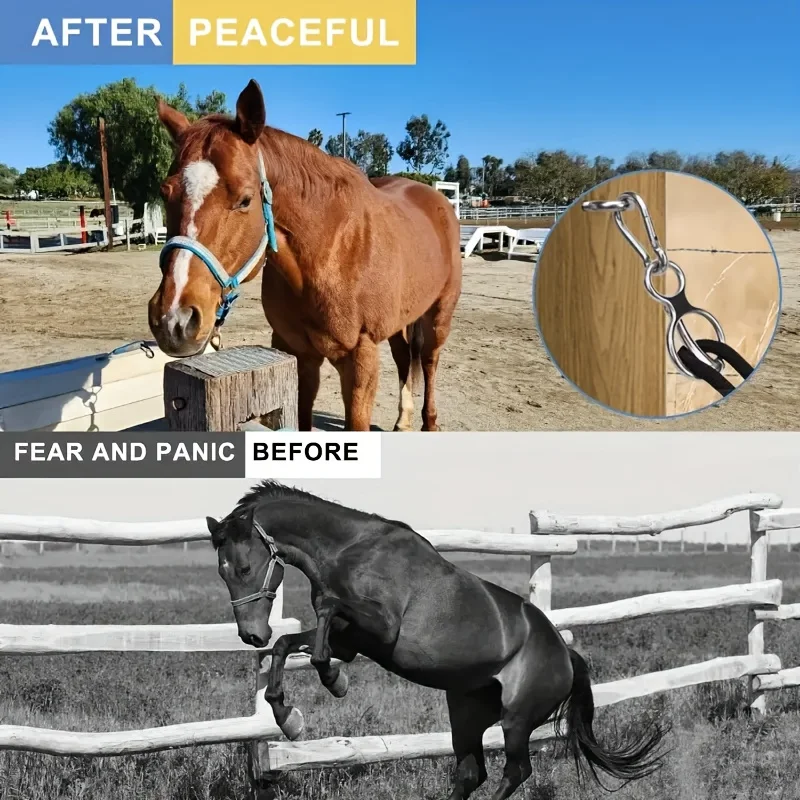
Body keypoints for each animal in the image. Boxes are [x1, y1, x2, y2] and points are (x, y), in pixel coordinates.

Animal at [149, 79, 462, 432]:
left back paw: (429, 422)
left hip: (439, 315)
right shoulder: (295, 352)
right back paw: (403, 418)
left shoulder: (361, 360)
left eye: (245, 200)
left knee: (429, 361)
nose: (174, 320)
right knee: (403, 357)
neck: (329, 252)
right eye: (165, 193)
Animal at [207, 482, 665, 800]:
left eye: (244, 567)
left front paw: (333, 682)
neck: (350, 550)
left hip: (517, 721)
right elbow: (288, 644)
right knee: (470, 773)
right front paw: (289, 716)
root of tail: (567, 656)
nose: (251, 634)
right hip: (465, 715)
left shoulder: (381, 627)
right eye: (221, 571)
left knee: (515, 772)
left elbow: (326, 612)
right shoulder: (352, 641)